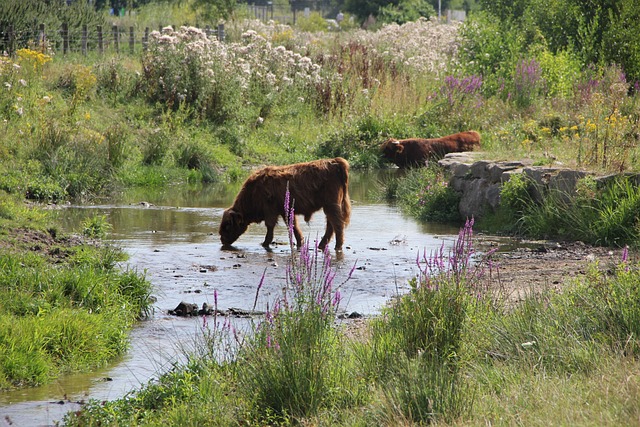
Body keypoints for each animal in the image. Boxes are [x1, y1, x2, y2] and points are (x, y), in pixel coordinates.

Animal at [219, 157, 350, 251]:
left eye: (228, 225)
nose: (222, 240)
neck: (254, 191)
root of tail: (335, 161)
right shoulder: (284, 211)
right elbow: (293, 225)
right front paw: (300, 242)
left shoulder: (270, 211)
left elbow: (270, 227)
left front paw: (265, 243)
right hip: (330, 206)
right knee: (331, 224)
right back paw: (322, 245)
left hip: (331, 204)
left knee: (337, 224)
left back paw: (337, 247)